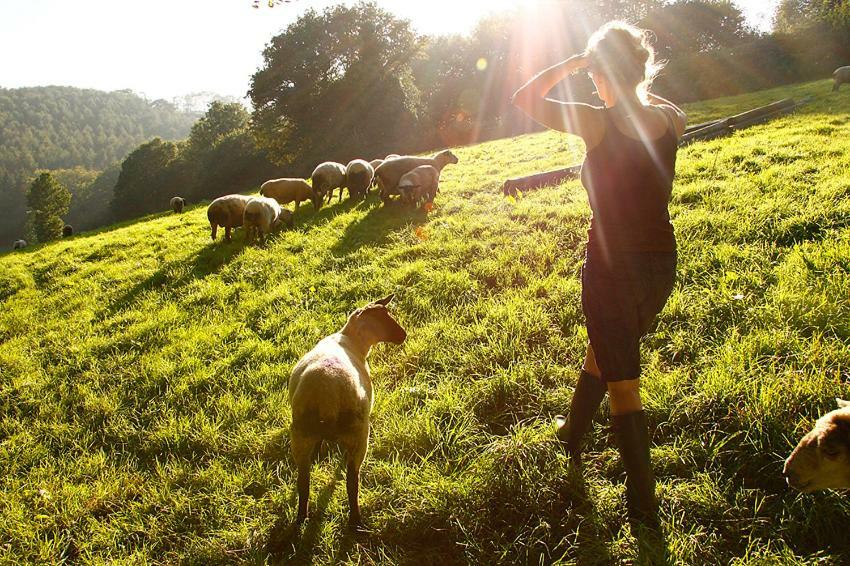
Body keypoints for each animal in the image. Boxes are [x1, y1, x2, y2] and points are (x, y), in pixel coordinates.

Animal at [288, 296, 408, 532]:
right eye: (384, 318)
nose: (403, 335)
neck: (351, 340)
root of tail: (327, 395)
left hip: (299, 437)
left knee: (303, 482)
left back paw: (301, 519)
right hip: (359, 436)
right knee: (352, 481)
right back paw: (355, 521)